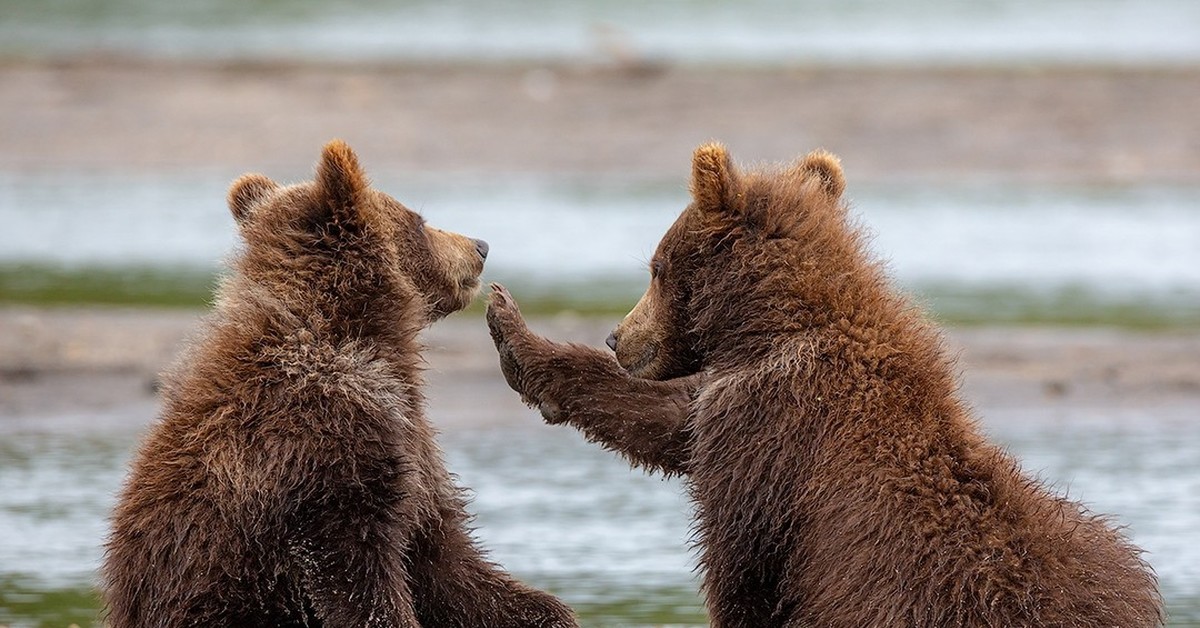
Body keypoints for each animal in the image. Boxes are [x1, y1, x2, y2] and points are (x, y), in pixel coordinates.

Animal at [102, 140, 577, 628]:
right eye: (418, 220)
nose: (480, 245)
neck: (357, 340)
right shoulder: (318, 454)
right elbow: (360, 577)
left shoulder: (414, 453)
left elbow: (450, 565)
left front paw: (546, 611)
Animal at [485, 143, 1163, 627]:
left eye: (654, 267)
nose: (618, 338)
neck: (776, 327)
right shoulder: (742, 403)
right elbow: (672, 421)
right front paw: (516, 336)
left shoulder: (772, 444)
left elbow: (742, 570)